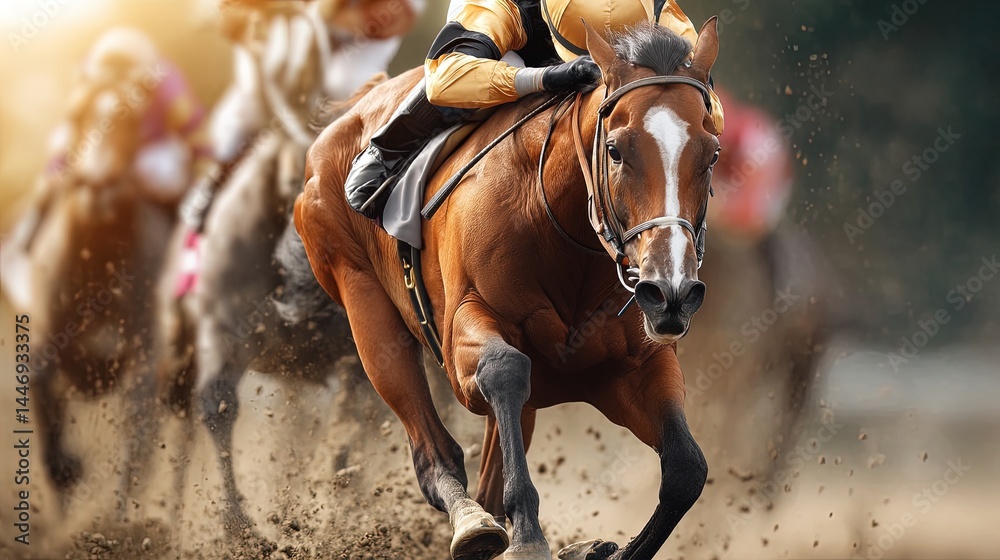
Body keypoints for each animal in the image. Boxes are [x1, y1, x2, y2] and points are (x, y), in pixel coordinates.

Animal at [0, 70, 177, 513]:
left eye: (133, 122)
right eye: (80, 116)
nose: (98, 181)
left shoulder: (145, 350)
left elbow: (137, 439)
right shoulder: (46, 335)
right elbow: (41, 384)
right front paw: (65, 470)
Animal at [296, 19, 722, 560]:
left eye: (712, 154)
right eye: (615, 150)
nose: (671, 290)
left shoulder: (634, 364)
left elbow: (687, 467)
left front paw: (595, 548)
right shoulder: (464, 335)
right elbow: (502, 369)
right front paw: (528, 537)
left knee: (492, 466)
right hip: (364, 307)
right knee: (434, 452)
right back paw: (473, 523)